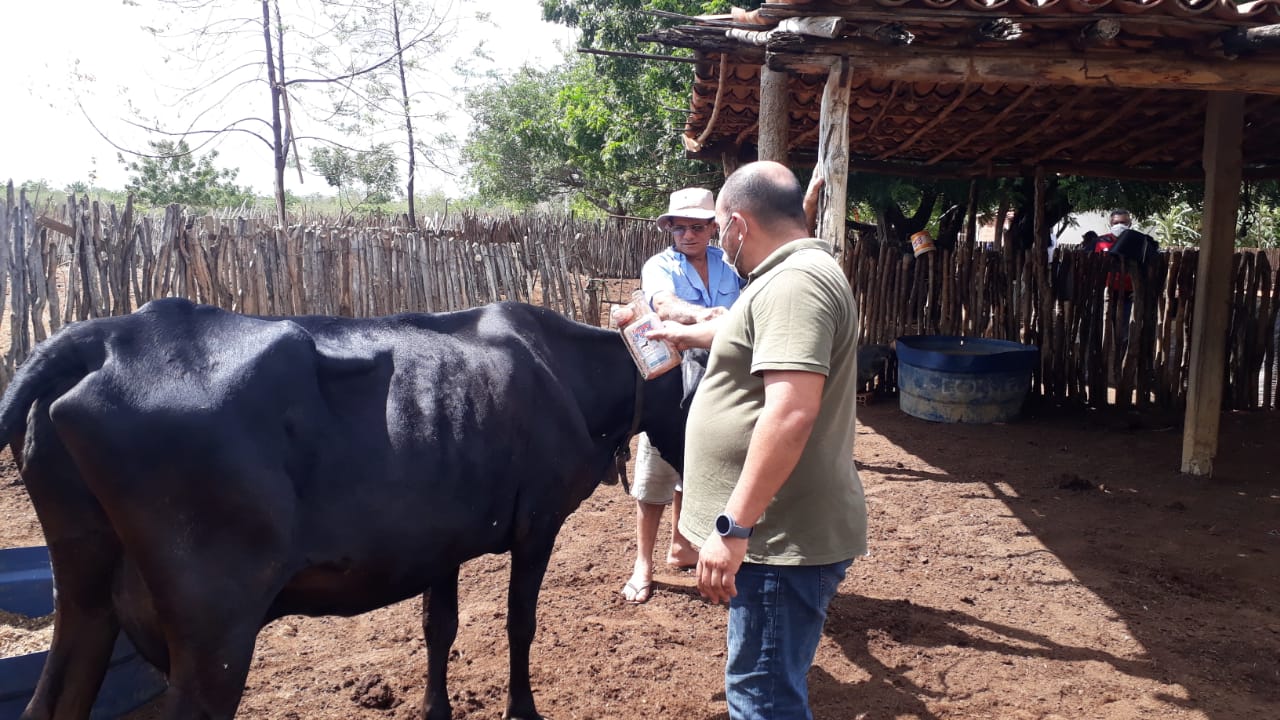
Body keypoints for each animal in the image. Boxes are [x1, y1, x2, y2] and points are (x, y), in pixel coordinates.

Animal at [0, 295, 691, 717]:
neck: (568, 371)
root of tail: (107, 333)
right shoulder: (539, 520)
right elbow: (520, 622)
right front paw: (522, 710)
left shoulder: (443, 534)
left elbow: (439, 627)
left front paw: (435, 709)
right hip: (214, 629)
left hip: (86, 589)